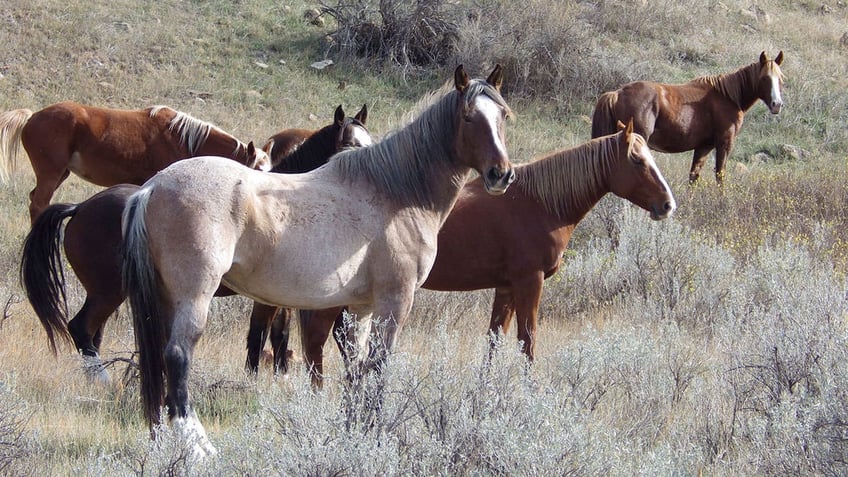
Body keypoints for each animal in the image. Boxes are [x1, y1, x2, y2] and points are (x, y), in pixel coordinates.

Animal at [0, 102, 270, 221]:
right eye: (254, 171)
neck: (183, 138)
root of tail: (32, 116)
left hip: (59, 174)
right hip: (51, 173)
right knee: (38, 203)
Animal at [121, 64, 512, 454]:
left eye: (503, 115)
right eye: (468, 116)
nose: (502, 174)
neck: (396, 193)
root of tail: (152, 187)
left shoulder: (361, 307)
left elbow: (356, 369)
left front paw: (354, 433)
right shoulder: (395, 301)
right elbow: (379, 367)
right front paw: (374, 437)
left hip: (166, 298)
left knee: (158, 359)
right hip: (194, 296)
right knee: (177, 356)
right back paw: (198, 447)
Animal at [264, 120, 676, 386]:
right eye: (637, 161)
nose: (667, 205)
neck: (539, 202)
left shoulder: (506, 287)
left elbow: (495, 340)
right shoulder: (530, 283)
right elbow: (528, 340)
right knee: (316, 343)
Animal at [592, 50, 784, 184]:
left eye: (781, 78)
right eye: (765, 78)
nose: (777, 104)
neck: (727, 97)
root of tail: (616, 94)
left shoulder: (704, 147)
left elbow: (694, 177)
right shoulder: (724, 143)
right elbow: (720, 175)